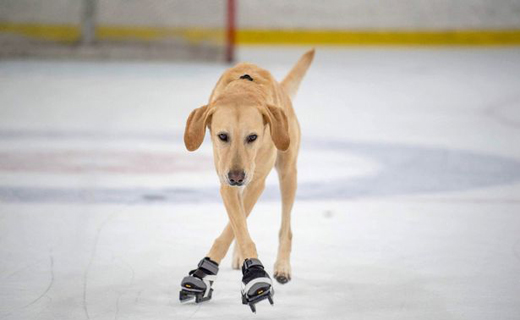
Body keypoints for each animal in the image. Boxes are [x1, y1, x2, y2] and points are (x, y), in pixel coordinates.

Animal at [181, 48, 314, 312]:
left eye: (253, 137)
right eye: (222, 136)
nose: (236, 176)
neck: (243, 90)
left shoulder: (256, 181)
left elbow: (239, 227)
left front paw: (254, 275)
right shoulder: (226, 184)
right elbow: (237, 226)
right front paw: (205, 273)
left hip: (287, 172)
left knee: (285, 227)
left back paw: (282, 266)